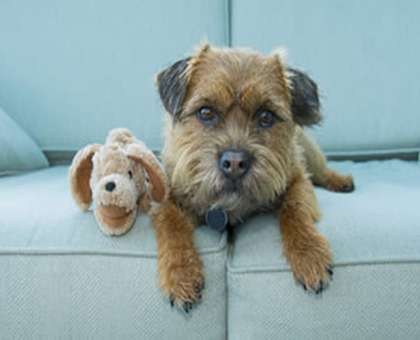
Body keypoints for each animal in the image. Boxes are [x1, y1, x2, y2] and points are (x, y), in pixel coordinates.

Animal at [151, 43, 354, 312]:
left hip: (309, 152)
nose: (235, 163)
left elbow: (295, 209)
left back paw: (340, 180)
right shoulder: (168, 196)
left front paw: (309, 253)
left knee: (321, 171)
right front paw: (180, 273)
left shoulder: (298, 180)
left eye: (266, 116)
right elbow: (171, 223)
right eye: (205, 112)